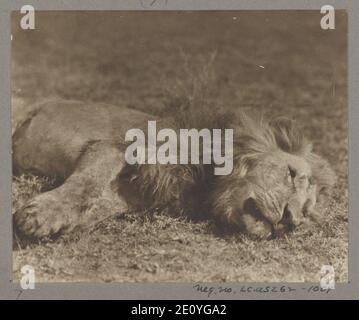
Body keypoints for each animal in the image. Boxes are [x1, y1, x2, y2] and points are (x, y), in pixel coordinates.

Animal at [11, 99, 338, 244]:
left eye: (306, 211)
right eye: (291, 174)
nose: (290, 221)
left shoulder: (135, 194)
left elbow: (98, 206)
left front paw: (62, 225)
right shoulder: (116, 147)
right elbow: (87, 184)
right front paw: (40, 215)